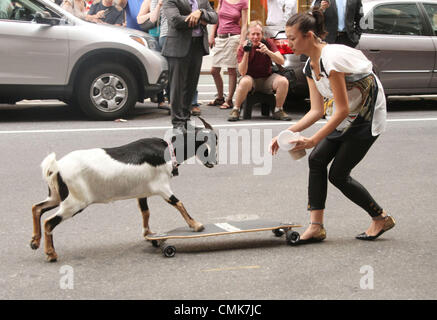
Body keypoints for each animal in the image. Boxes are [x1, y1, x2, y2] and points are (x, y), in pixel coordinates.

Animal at [29, 117, 217, 262]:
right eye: (209, 141)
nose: (214, 162)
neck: (168, 151)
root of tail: (56, 167)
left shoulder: (142, 192)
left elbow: (145, 212)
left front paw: (149, 233)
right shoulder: (162, 187)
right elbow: (179, 204)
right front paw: (197, 225)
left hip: (56, 196)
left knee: (37, 208)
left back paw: (35, 242)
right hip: (75, 202)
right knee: (49, 222)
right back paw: (51, 254)